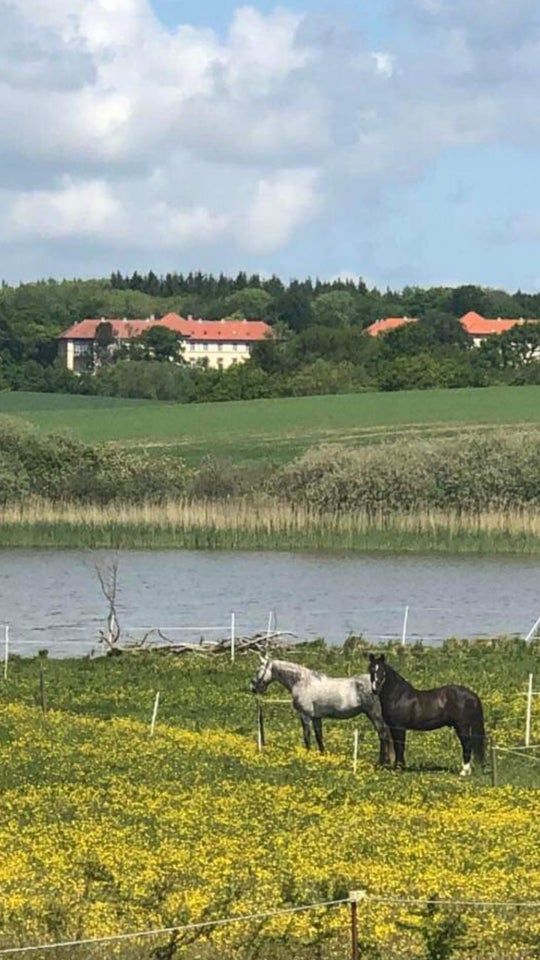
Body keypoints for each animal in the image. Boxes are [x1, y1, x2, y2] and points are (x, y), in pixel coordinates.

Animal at [251, 652, 390, 764]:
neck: (302, 682)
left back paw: (382, 762)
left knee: (383, 735)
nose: (254, 688)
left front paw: (307, 755)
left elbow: (307, 736)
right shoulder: (316, 717)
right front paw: (322, 756)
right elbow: (319, 737)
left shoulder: (305, 715)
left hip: (374, 714)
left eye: (258, 670)